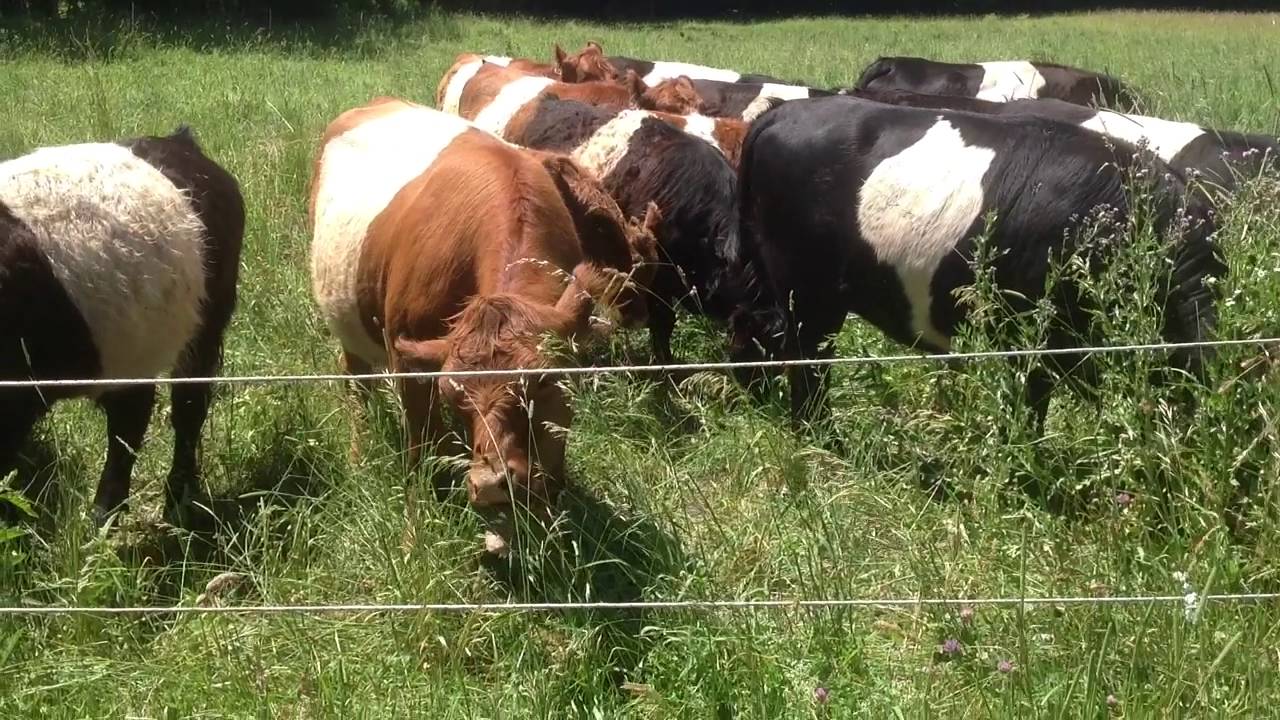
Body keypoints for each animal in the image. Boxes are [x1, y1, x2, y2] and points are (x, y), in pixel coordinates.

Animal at [0, 128, 244, 528]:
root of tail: (180, 141)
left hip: (205, 321)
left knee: (183, 407)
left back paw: (159, 503)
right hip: (133, 345)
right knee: (133, 413)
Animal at [309, 98, 659, 551]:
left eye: (543, 382)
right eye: (453, 393)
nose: (491, 483)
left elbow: (551, 467)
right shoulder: (410, 366)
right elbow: (420, 451)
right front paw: (412, 537)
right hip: (348, 326)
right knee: (356, 384)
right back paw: (358, 454)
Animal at [733, 96, 1223, 436]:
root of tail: (785, 111)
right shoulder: (1030, 337)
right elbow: (1028, 410)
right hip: (807, 293)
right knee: (808, 365)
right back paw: (820, 439)